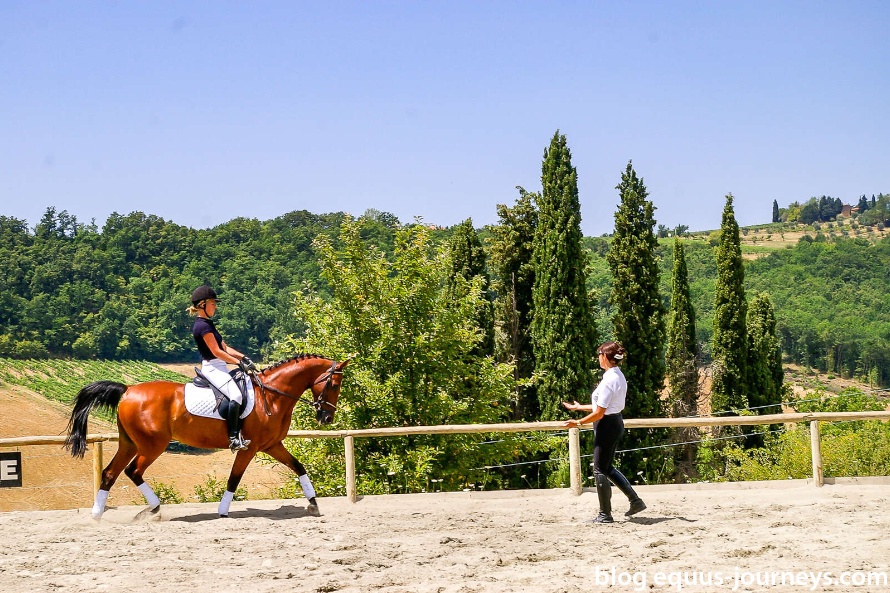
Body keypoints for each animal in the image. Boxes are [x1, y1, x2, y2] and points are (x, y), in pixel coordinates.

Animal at [65, 352, 346, 520]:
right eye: (334, 384)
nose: (326, 418)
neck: (273, 395)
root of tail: (128, 389)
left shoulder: (272, 445)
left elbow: (299, 467)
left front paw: (313, 503)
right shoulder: (249, 448)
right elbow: (234, 478)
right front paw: (222, 511)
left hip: (129, 443)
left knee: (110, 473)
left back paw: (98, 515)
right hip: (152, 445)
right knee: (133, 471)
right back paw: (153, 508)